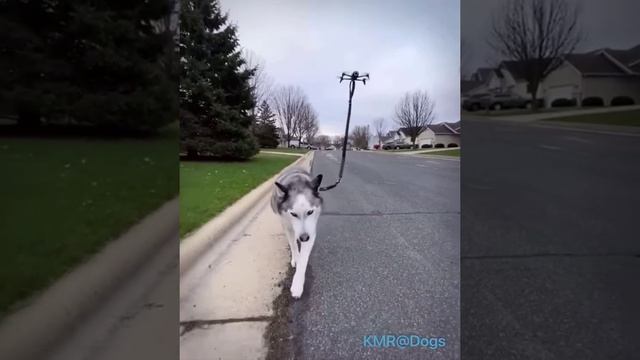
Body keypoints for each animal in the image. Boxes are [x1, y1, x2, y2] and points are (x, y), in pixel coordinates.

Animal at [270, 167, 322, 296]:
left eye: (310, 212)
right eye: (293, 214)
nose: (304, 238)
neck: (298, 183)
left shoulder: (311, 230)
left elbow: (304, 258)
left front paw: (297, 284)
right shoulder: (288, 226)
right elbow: (293, 245)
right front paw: (296, 258)